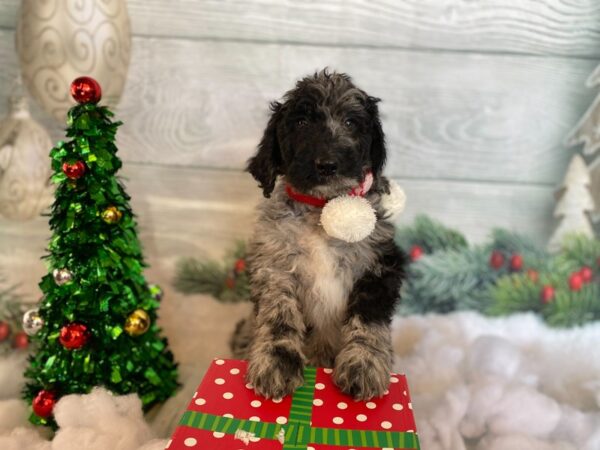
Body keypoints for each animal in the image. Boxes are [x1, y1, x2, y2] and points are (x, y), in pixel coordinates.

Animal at [230, 68, 408, 400]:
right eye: (301, 123)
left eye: (351, 122)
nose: (327, 165)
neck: (320, 211)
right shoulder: (273, 266)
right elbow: (278, 315)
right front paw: (276, 362)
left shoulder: (380, 264)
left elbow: (368, 316)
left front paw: (364, 365)